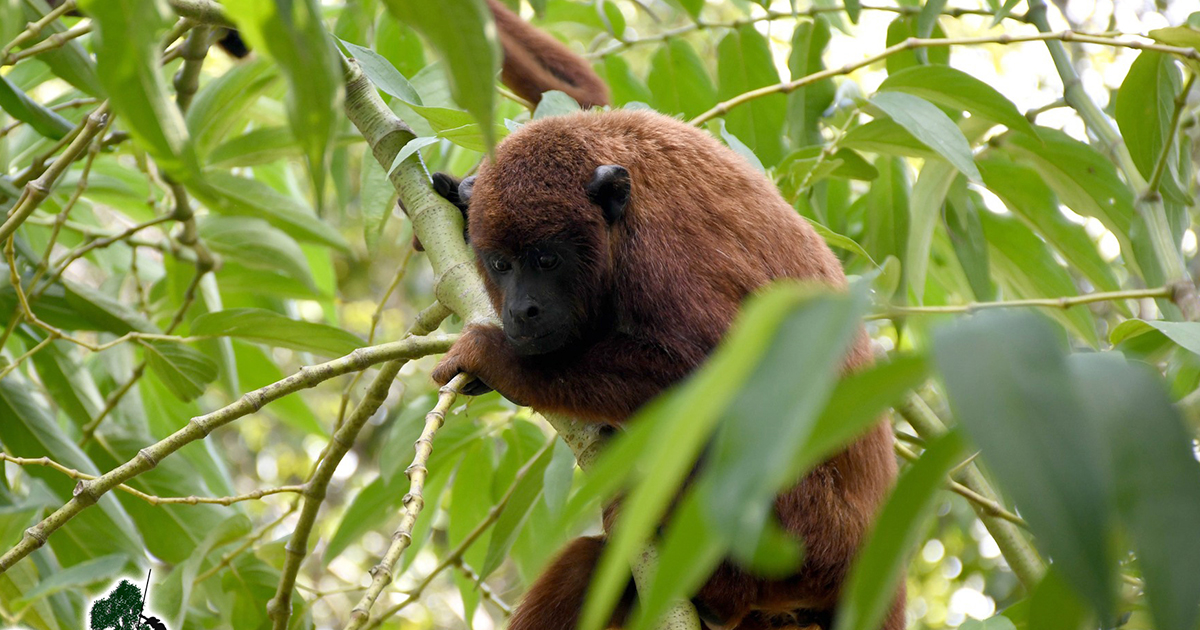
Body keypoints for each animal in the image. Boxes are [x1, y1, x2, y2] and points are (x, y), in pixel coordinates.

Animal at [429, 109, 902, 628]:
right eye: (501, 264)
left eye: (547, 259)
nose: (521, 310)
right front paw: (454, 196)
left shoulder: (662, 249)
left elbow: (710, 372)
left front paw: (501, 362)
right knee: (586, 564)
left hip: (810, 536)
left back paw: (718, 587)